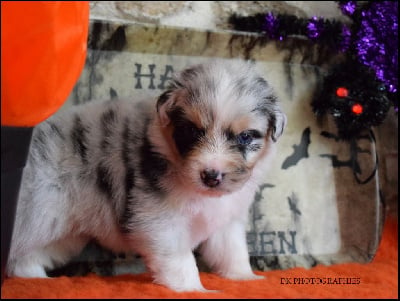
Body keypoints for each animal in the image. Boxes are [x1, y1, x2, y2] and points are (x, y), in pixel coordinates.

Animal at [7, 59, 288, 290]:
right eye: (191, 131)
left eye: (245, 136)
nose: (211, 176)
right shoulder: (160, 219)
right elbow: (181, 258)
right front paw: (193, 289)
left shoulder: (226, 220)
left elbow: (233, 250)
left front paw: (245, 277)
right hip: (34, 215)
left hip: (62, 232)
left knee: (23, 260)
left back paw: (37, 279)